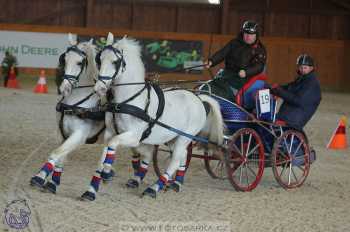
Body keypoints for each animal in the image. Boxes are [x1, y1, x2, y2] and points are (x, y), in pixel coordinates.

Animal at [30, 34, 108, 194]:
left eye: (80, 62)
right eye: (64, 59)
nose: (64, 88)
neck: (75, 103)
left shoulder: (79, 135)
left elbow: (56, 153)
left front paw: (39, 177)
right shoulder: (62, 134)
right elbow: (61, 157)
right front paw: (53, 183)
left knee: (103, 161)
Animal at [81, 32, 224, 199]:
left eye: (115, 62)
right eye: (99, 59)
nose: (99, 88)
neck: (127, 100)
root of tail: (199, 98)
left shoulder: (134, 136)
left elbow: (113, 145)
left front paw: (107, 173)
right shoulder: (110, 132)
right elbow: (103, 156)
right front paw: (91, 190)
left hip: (185, 137)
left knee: (175, 160)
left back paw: (154, 188)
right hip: (172, 138)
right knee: (182, 157)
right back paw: (176, 183)